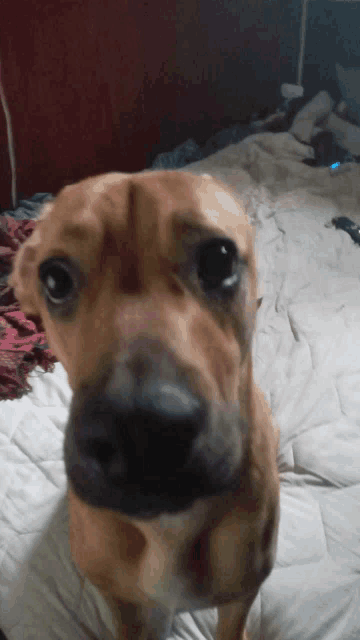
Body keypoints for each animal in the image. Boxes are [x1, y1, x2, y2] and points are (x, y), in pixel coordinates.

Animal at [7, 170, 278, 640]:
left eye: (219, 259)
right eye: (54, 279)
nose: (139, 434)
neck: (169, 527)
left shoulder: (240, 600)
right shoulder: (124, 605)